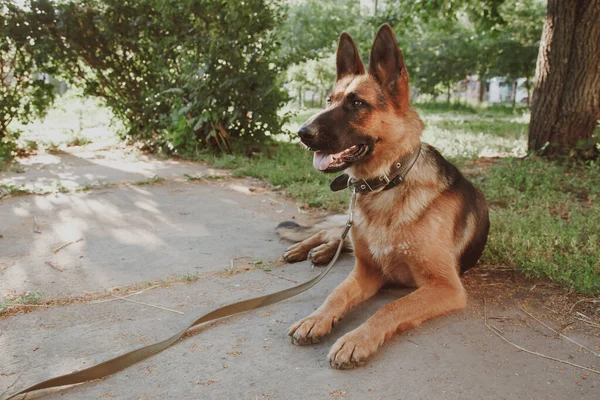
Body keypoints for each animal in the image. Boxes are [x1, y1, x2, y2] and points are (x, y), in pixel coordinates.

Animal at [278, 24, 490, 368]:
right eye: (329, 100)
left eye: (357, 104)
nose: (302, 133)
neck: (389, 182)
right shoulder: (367, 272)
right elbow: (336, 293)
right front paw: (316, 318)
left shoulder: (445, 287)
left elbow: (390, 307)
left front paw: (356, 339)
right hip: (350, 228)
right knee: (330, 233)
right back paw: (305, 249)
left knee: (338, 239)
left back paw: (320, 253)